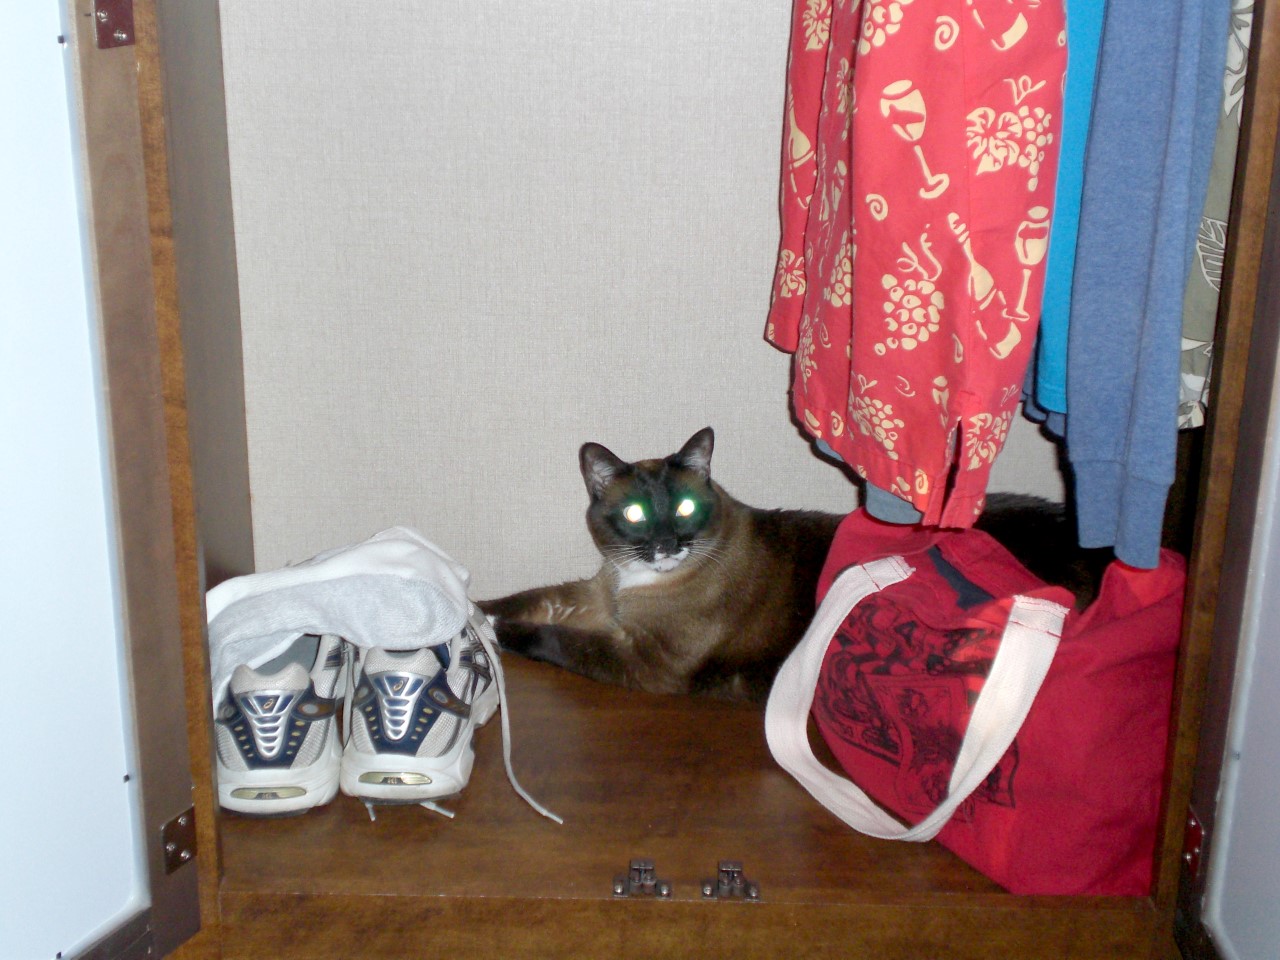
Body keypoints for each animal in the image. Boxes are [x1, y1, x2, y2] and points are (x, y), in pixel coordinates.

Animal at [476, 432, 1105, 701]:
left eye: (686, 508)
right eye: (635, 514)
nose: (669, 543)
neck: (633, 585)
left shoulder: (646, 659)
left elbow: (553, 638)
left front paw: (495, 634)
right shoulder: (595, 595)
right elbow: (522, 600)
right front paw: (467, 612)